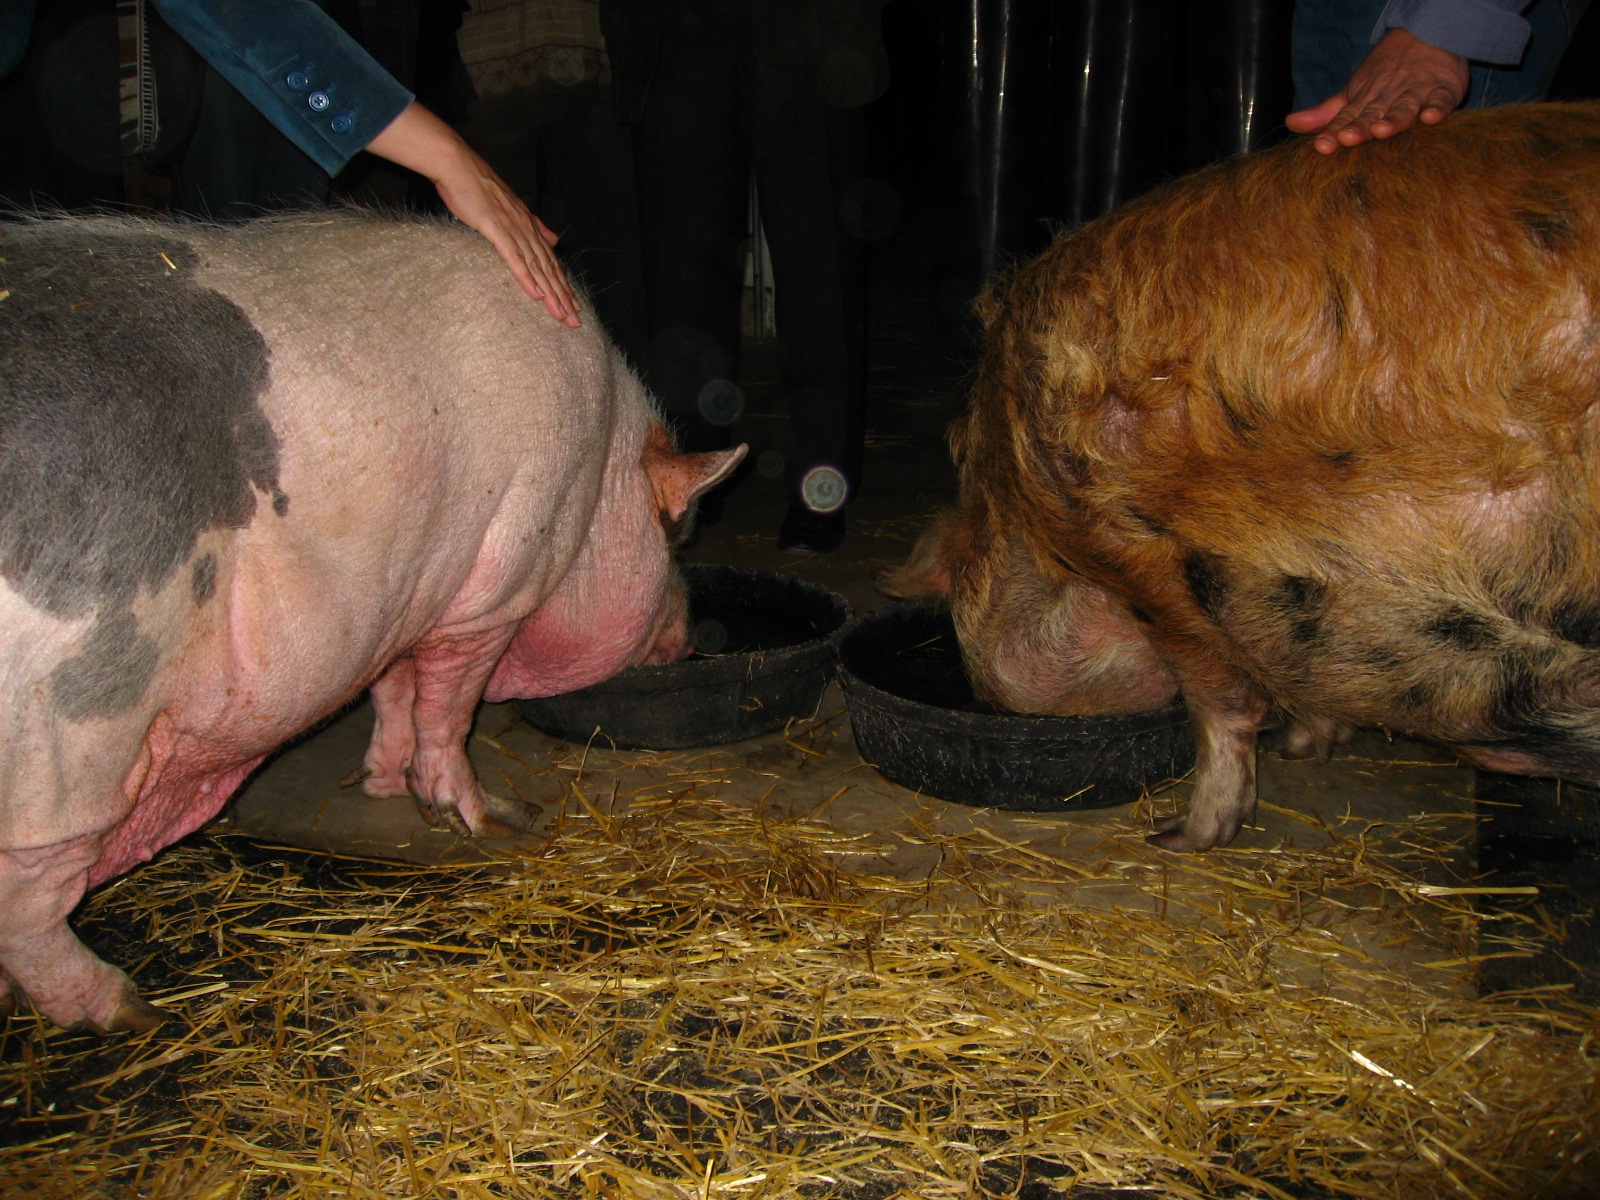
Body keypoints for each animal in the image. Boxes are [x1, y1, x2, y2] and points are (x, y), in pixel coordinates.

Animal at [0, 214, 736, 1036]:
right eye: (676, 536)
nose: (691, 638)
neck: (601, 474)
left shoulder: (405, 592)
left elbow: (392, 689)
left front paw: (382, 785)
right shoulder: (498, 584)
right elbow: (447, 706)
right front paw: (502, 819)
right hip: (74, 728)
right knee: (32, 899)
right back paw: (133, 1013)